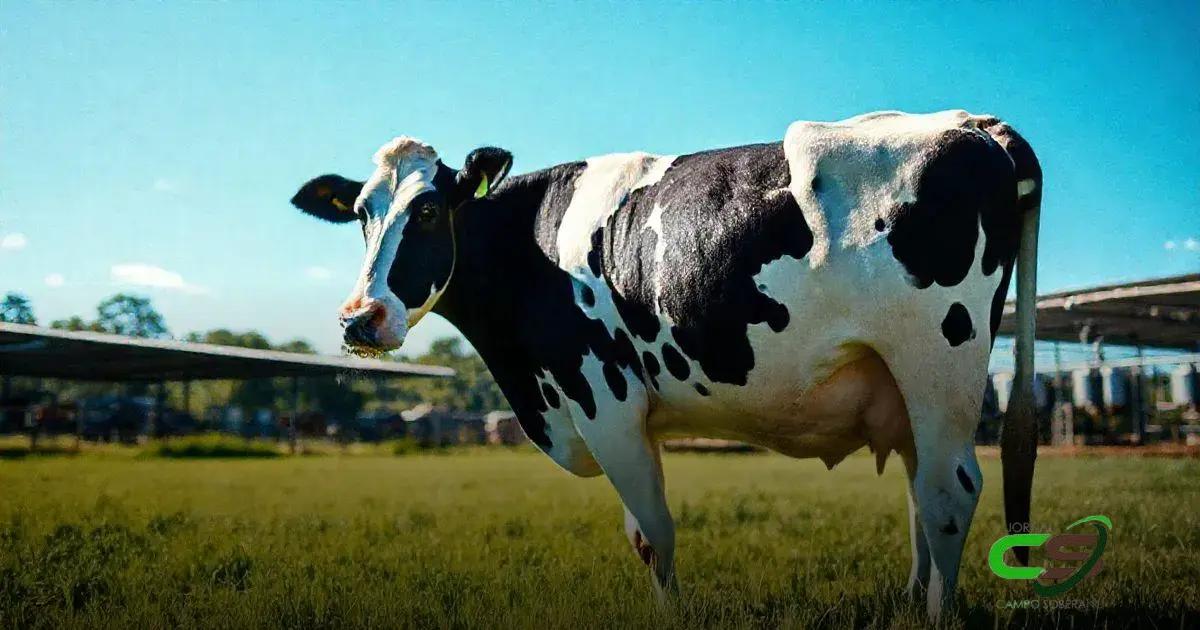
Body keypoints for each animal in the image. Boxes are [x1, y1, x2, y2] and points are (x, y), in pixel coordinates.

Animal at [290, 110, 1042, 620]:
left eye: (426, 212)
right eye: (362, 214)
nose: (359, 318)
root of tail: (973, 124)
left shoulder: (603, 399)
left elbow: (653, 534)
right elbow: (641, 534)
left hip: (939, 359)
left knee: (949, 494)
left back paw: (936, 613)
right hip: (904, 384)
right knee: (922, 494)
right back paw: (913, 601)